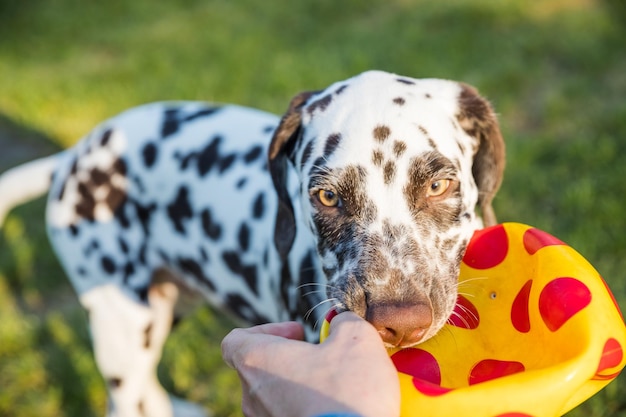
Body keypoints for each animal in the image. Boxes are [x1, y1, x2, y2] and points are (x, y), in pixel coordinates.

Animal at [0, 70, 502, 414]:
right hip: (120, 322)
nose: (399, 322)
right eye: (327, 196)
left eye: (438, 185)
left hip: (166, 306)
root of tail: (73, 156)